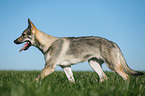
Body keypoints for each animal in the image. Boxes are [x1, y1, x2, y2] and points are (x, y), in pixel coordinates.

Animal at [13, 18, 144, 82]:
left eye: (23, 35)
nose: (14, 41)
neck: (48, 44)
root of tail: (113, 43)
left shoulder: (49, 68)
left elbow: (36, 79)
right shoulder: (66, 67)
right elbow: (72, 81)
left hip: (113, 66)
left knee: (126, 77)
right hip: (93, 64)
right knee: (104, 77)